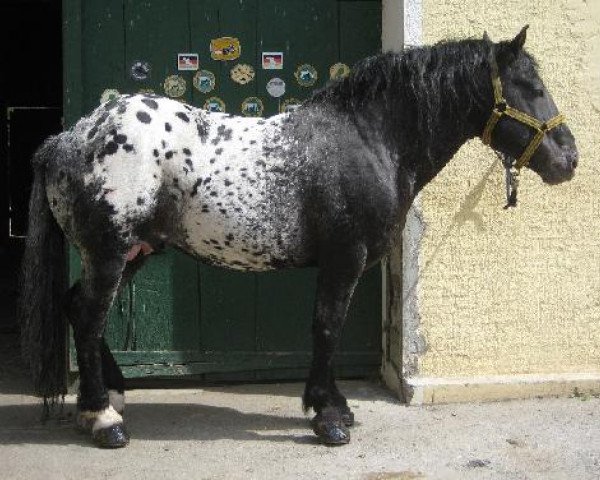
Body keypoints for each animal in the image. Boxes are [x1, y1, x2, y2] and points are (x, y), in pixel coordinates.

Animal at [18, 25, 576, 446]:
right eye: (529, 86)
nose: (569, 159)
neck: (368, 138)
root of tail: (69, 138)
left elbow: (326, 329)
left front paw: (332, 408)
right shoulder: (344, 258)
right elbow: (327, 327)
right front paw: (328, 416)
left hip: (136, 251)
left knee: (77, 309)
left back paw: (110, 398)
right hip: (111, 253)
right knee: (89, 317)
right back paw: (103, 420)